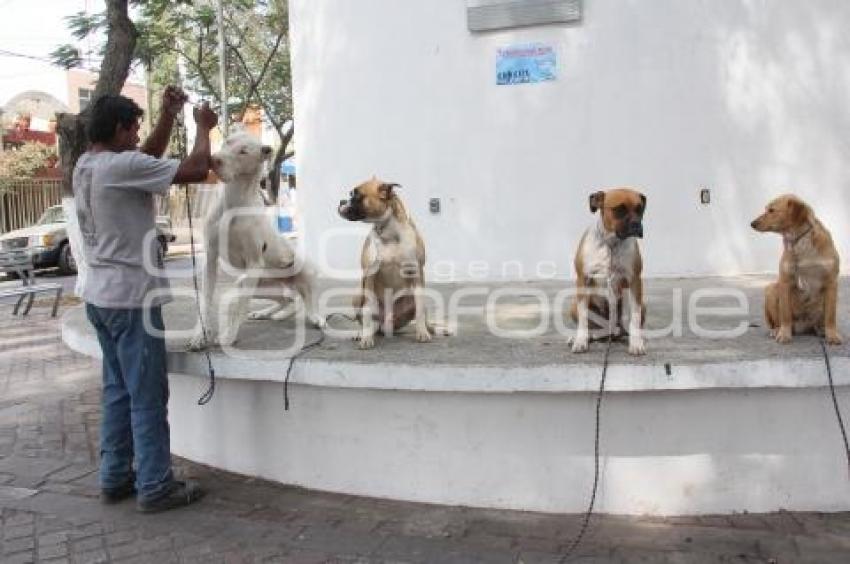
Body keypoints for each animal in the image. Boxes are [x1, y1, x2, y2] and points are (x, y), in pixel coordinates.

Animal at [188, 133, 322, 350]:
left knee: (309, 298)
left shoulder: (253, 262)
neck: (233, 201)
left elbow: (240, 306)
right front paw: (200, 335)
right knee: (288, 299)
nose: (215, 159)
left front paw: (228, 337)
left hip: (303, 271)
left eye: (244, 151)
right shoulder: (210, 257)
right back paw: (268, 313)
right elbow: (205, 300)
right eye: (227, 142)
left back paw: (315, 317)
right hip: (258, 284)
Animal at [334, 176, 438, 348]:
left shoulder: (417, 272)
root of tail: (387, 326)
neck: (388, 231)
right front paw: (366, 338)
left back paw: (438, 329)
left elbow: (420, 310)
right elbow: (367, 311)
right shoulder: (369, 274)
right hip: (358, 293)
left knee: (422, 310)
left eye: (357, 195)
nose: (341, 201)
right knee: (365, 319)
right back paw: (361, 333)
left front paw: (422, 332)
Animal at [568, 189, 644, 356]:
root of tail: (610, 330)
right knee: (595, 328)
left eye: (640, 209)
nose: (636, 224)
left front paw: (636, 343)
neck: (611, 244)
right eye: (619, 210)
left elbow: (635, 317)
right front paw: (580, 340)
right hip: (574, 306)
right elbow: (583, 318)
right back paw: (587, 336)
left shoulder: (635, 281)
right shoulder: (583, 280)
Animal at [748, 194, 840, 344]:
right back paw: (776, 330)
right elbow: (785, 314)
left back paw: (821, 329)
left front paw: (832, 335)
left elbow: (831, 316)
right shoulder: (785, 282)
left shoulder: (831, 282)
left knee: (820, 320)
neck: (801, 242)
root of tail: (804, 325)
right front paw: (784, 334)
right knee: (776, 321)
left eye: (771, 210)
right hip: (771, 289)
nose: (752, 223)